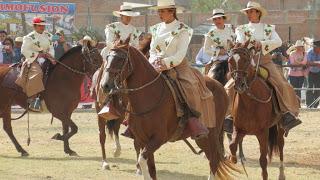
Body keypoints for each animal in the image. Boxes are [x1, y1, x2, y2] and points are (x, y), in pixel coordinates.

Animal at [101, 42, 239, 180]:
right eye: (107, 57)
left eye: (120, 59)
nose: (105, 85)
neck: (149, 95)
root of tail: (221, 87)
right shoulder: (143, 140)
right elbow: (151, 169)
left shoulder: (158, 138)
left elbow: (142, 160)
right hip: (202, 138)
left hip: (211, 134)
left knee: (214, 160)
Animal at [228, 44, 284, 180]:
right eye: (230, 61)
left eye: (246, 60)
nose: (239, 84)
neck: (250, 102)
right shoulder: (239, 129)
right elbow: (232, 145)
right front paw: (233, 159)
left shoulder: (262, 132)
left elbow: (263, 160)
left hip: (280, 125)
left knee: (280, 145)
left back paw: (281, 174)